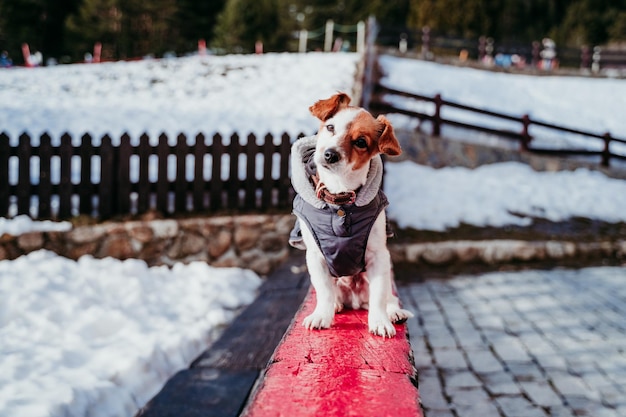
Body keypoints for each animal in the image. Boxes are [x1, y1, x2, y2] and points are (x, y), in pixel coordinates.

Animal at [288, 92, 414, 338]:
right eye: (330, 127)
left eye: (361, 142)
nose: (330, 154)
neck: (340, 198)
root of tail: (355, 301)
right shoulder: (316, 257)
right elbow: (324, 291)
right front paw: (322, 315)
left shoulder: (379, 257)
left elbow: (378, 296)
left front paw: (380, 321)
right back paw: (336, 305)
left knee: (387, 298)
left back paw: (394, 313)